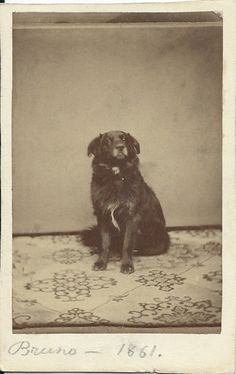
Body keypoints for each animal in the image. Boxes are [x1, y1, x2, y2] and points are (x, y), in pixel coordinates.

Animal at [79, 130, 170, 274]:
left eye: (124, 139)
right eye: (107, 140)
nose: (120, 147)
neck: (116, 176)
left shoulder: (132, 218)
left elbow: (127, 244)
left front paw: (127, 264)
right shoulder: (103, 216)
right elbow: (104, 243)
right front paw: (101, 261)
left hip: (156, 234)